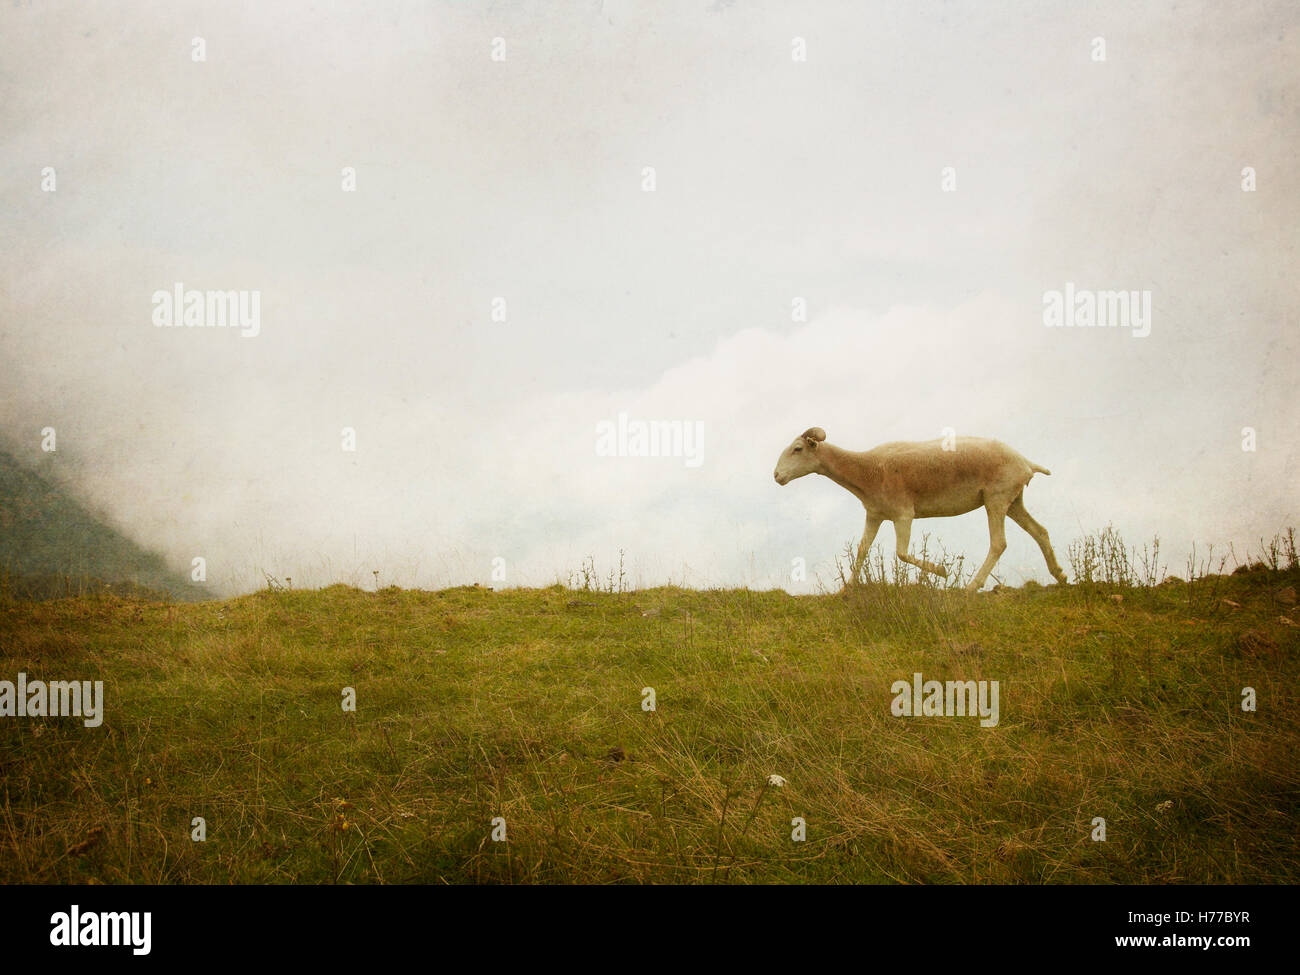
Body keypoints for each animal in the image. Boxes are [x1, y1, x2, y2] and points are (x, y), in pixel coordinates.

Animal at [769, 428, 1066, 595]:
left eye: (797, 449)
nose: (776, 476)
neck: (866, 469)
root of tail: (1026, 462)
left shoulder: (903, 514)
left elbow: (901, 553)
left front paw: (942, 571)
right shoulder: (875, 514)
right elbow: (862, 549)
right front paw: (846, 588)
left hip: (996, 498)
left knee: (999, 543)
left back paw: (971, 586)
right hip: (1013, 501)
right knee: (1040, 532)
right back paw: (1060, 575)